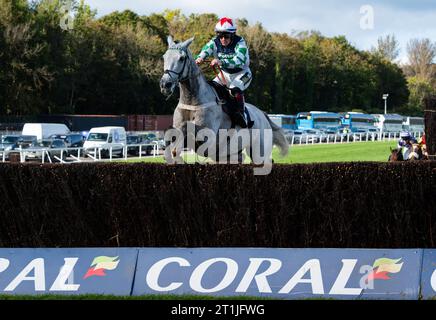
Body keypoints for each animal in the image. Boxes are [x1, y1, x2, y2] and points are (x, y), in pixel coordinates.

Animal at [158, 36, 288, 169]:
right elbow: (172, 137)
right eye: (164, 57)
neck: (192, 101)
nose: (165, 84)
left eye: (181, 58)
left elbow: (187, 128)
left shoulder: (207, 137)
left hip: (259, 151)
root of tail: (263, 115)